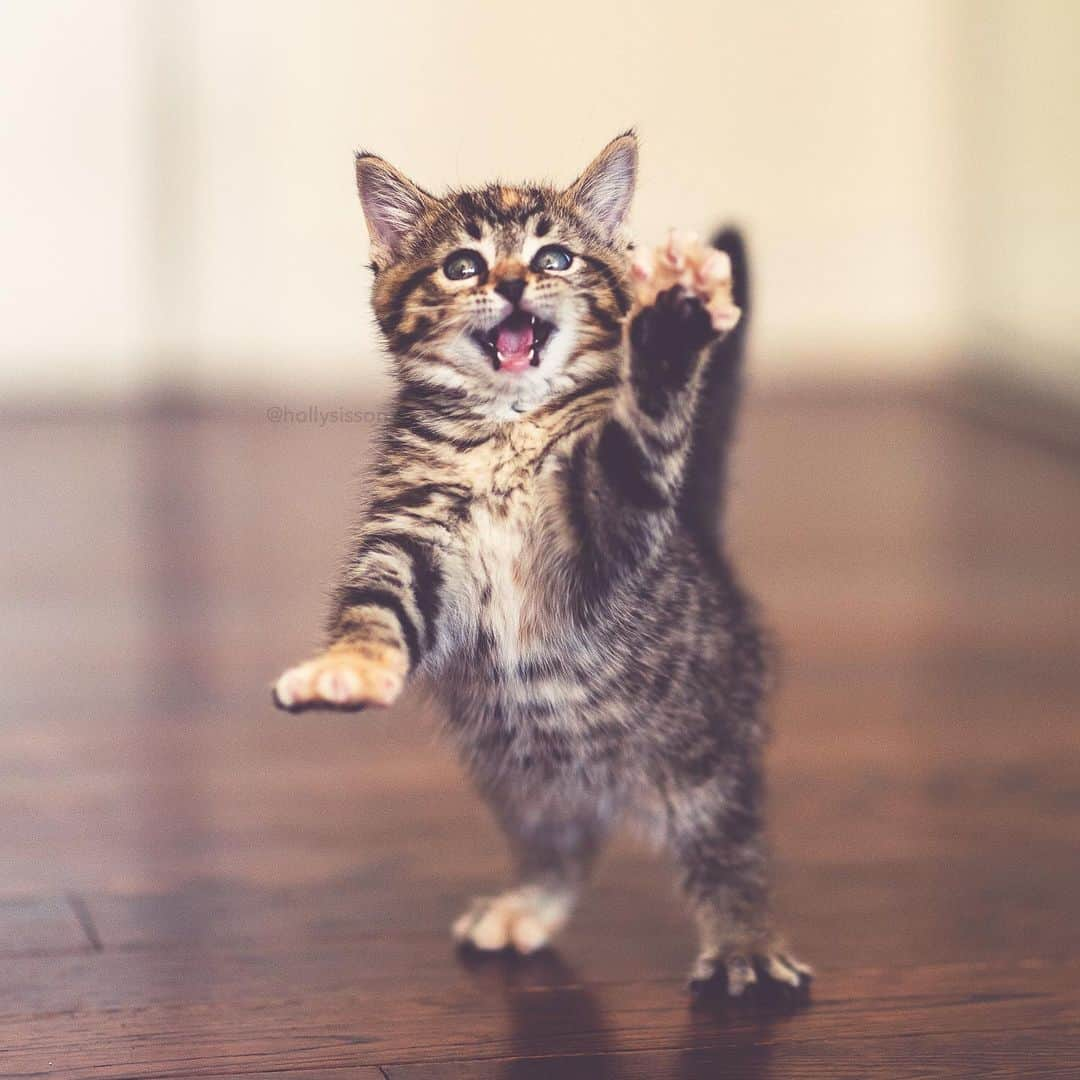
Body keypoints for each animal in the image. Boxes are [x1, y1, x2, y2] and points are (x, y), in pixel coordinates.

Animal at [272, 135, 812, 1002]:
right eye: (463, 266)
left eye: (554, 256)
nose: (514, 282)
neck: (504, 429)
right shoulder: (411, 532)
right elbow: (378, 605)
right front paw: (347, 666)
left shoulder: (607, 529)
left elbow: (638, 441)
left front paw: (673, 324)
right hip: (522, 777)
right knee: (566, 846)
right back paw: (531, 901)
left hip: (705, 752)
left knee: (731, 850)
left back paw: (746, 942)